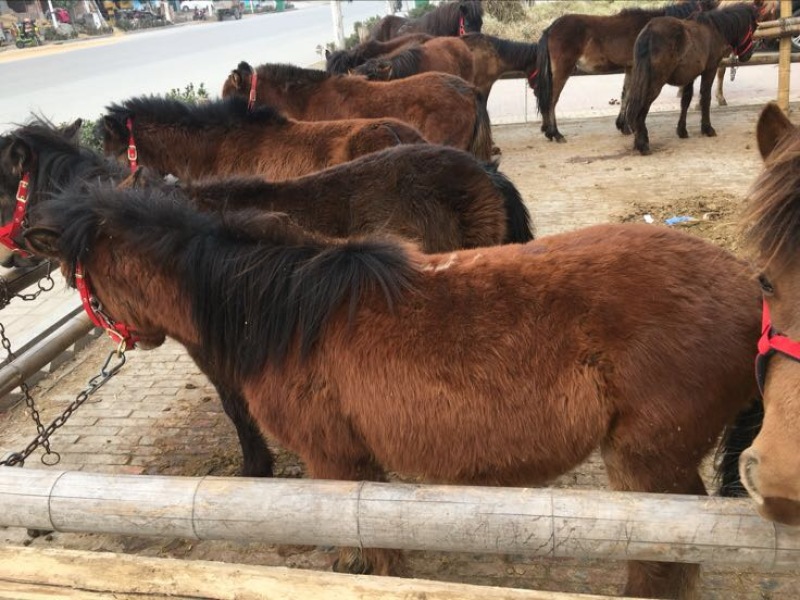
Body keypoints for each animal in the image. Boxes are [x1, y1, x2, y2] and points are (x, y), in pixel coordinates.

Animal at [25, 182, 763, 599]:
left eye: (78, 277)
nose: (125, 337)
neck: (279, 312)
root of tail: (748, 287)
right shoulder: (358, 461)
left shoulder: (333, 458)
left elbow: (373, 550)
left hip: (647, 460)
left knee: (662, 552)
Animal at [534, 0, 719, 143]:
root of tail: (551, 28)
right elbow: (630, 95)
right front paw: (630, 126)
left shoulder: (630, 68)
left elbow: (626, 94)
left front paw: (623, 126)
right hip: (562, 70)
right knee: (551, 100)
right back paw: (556, 134)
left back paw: (549, 132)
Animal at [624, 2, 760, 155]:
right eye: (752, 28)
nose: (748, 55)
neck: (714, 29)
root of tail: (649, 31)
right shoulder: (710, 69)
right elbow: (705, 98)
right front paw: (707, 129)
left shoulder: (689, 75)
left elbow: (685, 101)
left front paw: (682, 130)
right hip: (655, 83)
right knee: (642, 109)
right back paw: (642, 144)